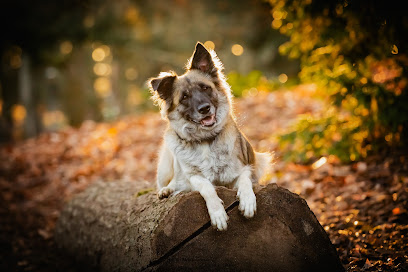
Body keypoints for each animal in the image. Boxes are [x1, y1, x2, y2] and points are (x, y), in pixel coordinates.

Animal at [149, 42, 270, 230]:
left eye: (205, 87)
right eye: (184, 97)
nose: (204, 109)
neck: (205, 141)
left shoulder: (242, 169)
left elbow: (245, 180)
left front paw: (248, 201)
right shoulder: (193, 177)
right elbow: (206, 186)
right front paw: (218, 213)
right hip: (165, 166)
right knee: (172, 181)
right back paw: (166, 190)